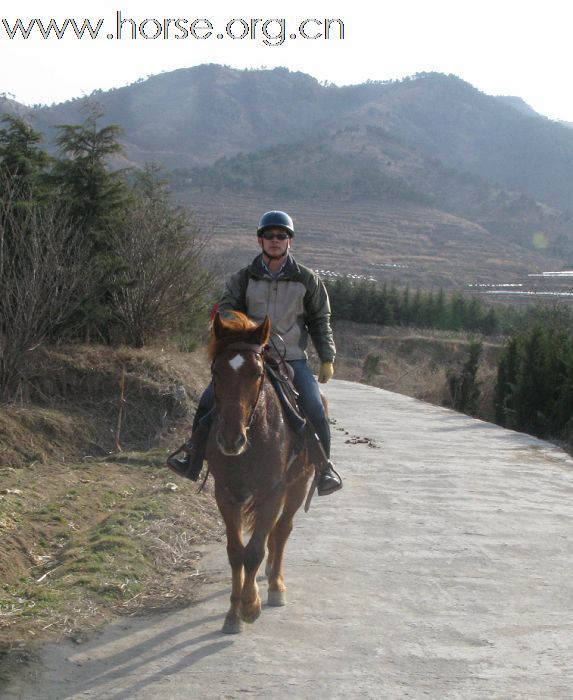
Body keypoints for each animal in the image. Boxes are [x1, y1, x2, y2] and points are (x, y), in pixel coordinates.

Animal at [206, 312, 312, 636]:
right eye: (216, 371)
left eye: (256, 373)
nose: (230, 439)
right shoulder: (226, 494)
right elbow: (235, 552)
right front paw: (233, 614)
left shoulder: (272, 493)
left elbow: (254, 551)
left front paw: (250, 605)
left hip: (299, 485)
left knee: (282, 530)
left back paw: (276, 585)